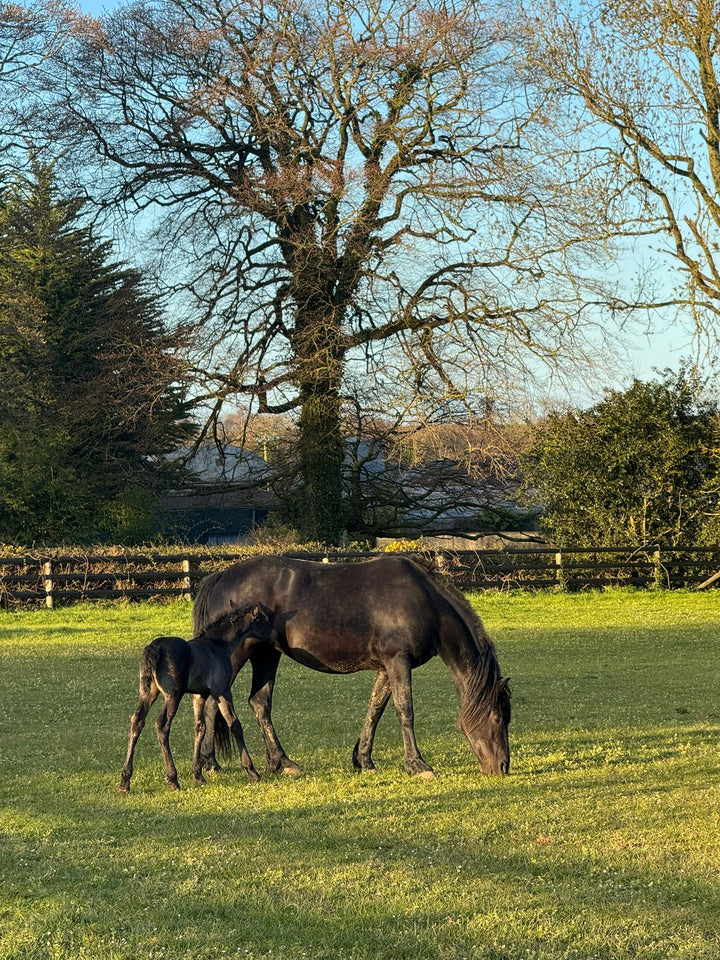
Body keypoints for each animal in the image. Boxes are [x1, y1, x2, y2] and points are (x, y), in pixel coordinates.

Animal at [119, 604, 276, 793]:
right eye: (262, 620)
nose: (275, 634)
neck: (219, 645)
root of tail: (154, 648)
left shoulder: (199, 696)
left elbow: (200, 727)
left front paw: (198, 775)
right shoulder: (222, 691)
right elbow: (235, 725)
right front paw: (252, 771)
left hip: (148, 693)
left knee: (137, 721)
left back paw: (125, 781)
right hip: (173, 695)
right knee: (162, 725)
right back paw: (172, 779)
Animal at [193, 554, 511, 778]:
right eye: (498, 718)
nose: (503, 766)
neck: (423, 599)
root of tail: (220, 576)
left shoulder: (386, 667)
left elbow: (376, 709)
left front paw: (364, 759)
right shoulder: (398, 660)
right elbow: (405, 710)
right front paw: (417, 765)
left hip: (266, 655)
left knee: (259, 703)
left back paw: (280, 762)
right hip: (239, 657)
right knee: (213, 703)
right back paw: (211, 764)